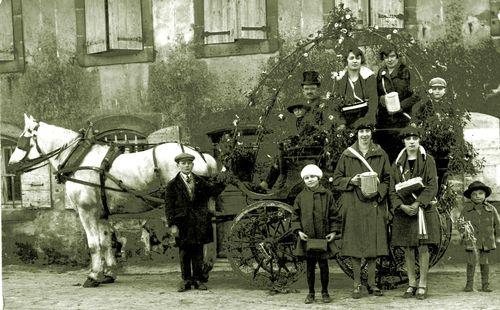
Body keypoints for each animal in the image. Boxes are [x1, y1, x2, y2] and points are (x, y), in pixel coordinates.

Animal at [7, 115, 218, 286]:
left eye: (23, 139)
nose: (9, 166)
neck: (80, 160)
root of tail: (200, 155)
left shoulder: (87, 211)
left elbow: (94, 245)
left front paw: (93, 276)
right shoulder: (101, 213)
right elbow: (106, 242)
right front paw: (108, 273)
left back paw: (202, 270)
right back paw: (205, 269)